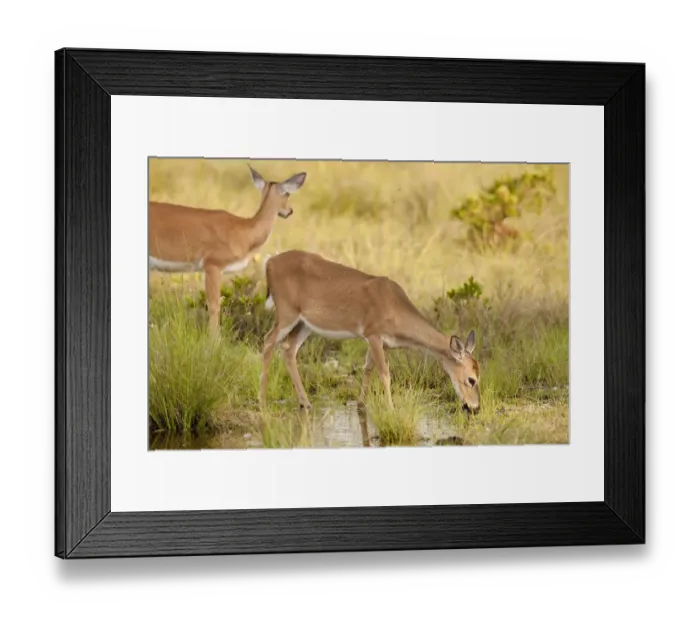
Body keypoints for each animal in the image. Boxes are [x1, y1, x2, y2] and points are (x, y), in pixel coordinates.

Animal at [259, 250, 481, 414]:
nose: (475, 407)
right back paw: (262, 399)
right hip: (286, 314)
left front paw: (361, 404)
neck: (394, 306)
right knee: (268, 341)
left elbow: (367, 368)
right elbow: (384, 374)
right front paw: (391, 409)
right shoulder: (374, 335)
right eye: (471, 379)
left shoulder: (380, 343)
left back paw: (305, 402)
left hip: (304, 324)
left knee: (288, 349)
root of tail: (269, 262)